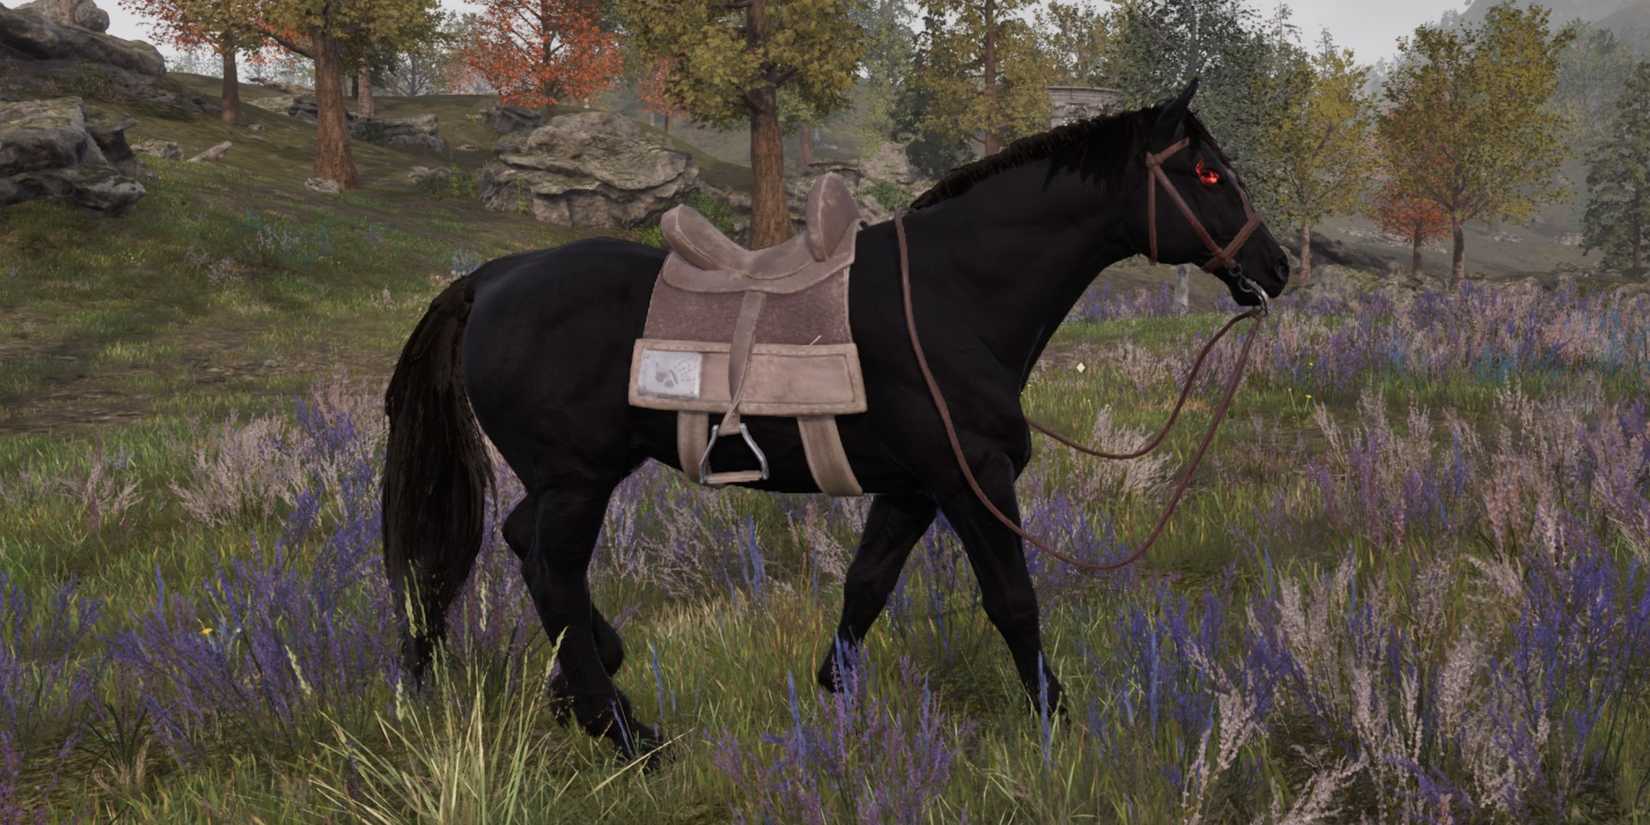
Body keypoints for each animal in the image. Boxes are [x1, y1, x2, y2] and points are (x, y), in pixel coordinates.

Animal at [381, 79, 1290, 758]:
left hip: (570, 477)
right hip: (578, 482)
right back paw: (626, 732)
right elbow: (1013, 600)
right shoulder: (973, 480)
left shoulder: (914, 487)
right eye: (1208, 175)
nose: (1275, 265)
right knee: (553, 575)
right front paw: (1059, 720)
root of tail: (494, 277)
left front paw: (836, 695)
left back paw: (593, 688)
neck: (953, 296)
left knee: (521, 544)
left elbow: (867, 583)